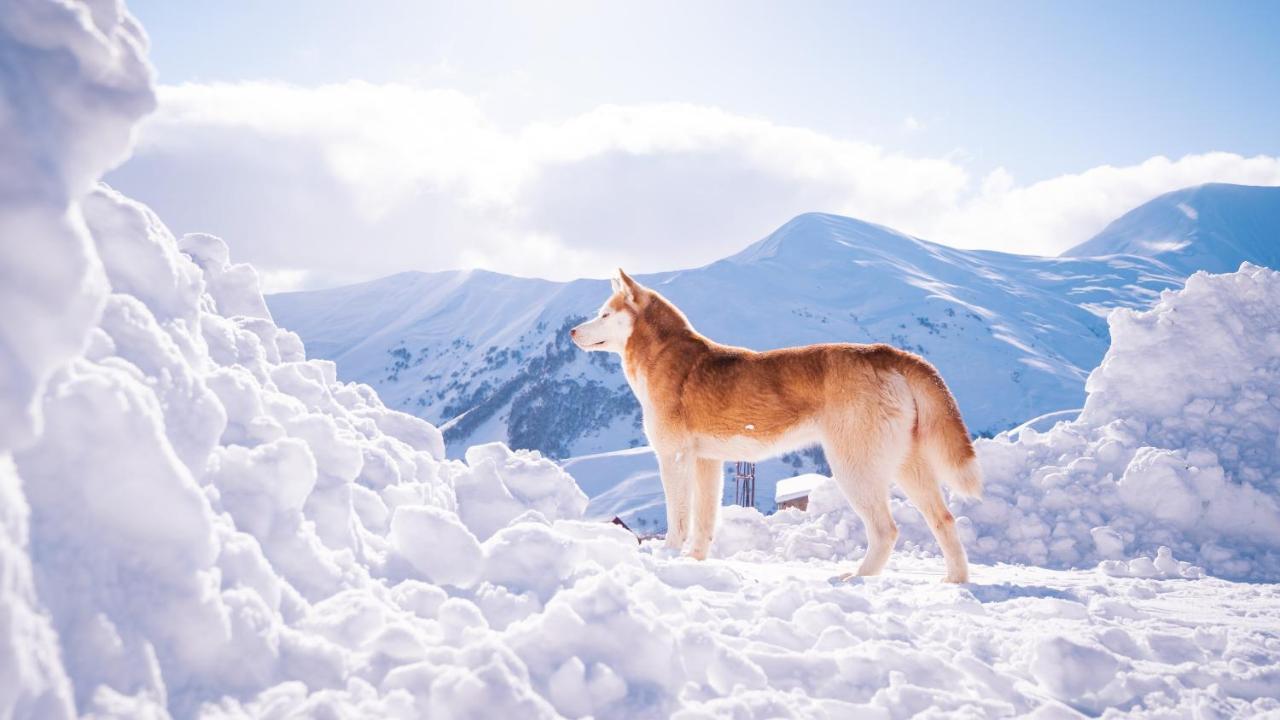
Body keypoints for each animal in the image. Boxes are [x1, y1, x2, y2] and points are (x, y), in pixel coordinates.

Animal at [570, 266, 977, 579]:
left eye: (604, 314)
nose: (573, 331)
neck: (663, 356)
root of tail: (887, 352)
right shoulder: (707, 462)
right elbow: (704, 521)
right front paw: (695, 560)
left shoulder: (674, 457)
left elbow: (679, 517)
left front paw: (669, 555)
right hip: (907, 465)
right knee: (944, 520)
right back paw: (955, 581)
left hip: (854, 467)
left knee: (886, 529)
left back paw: (859, 578)